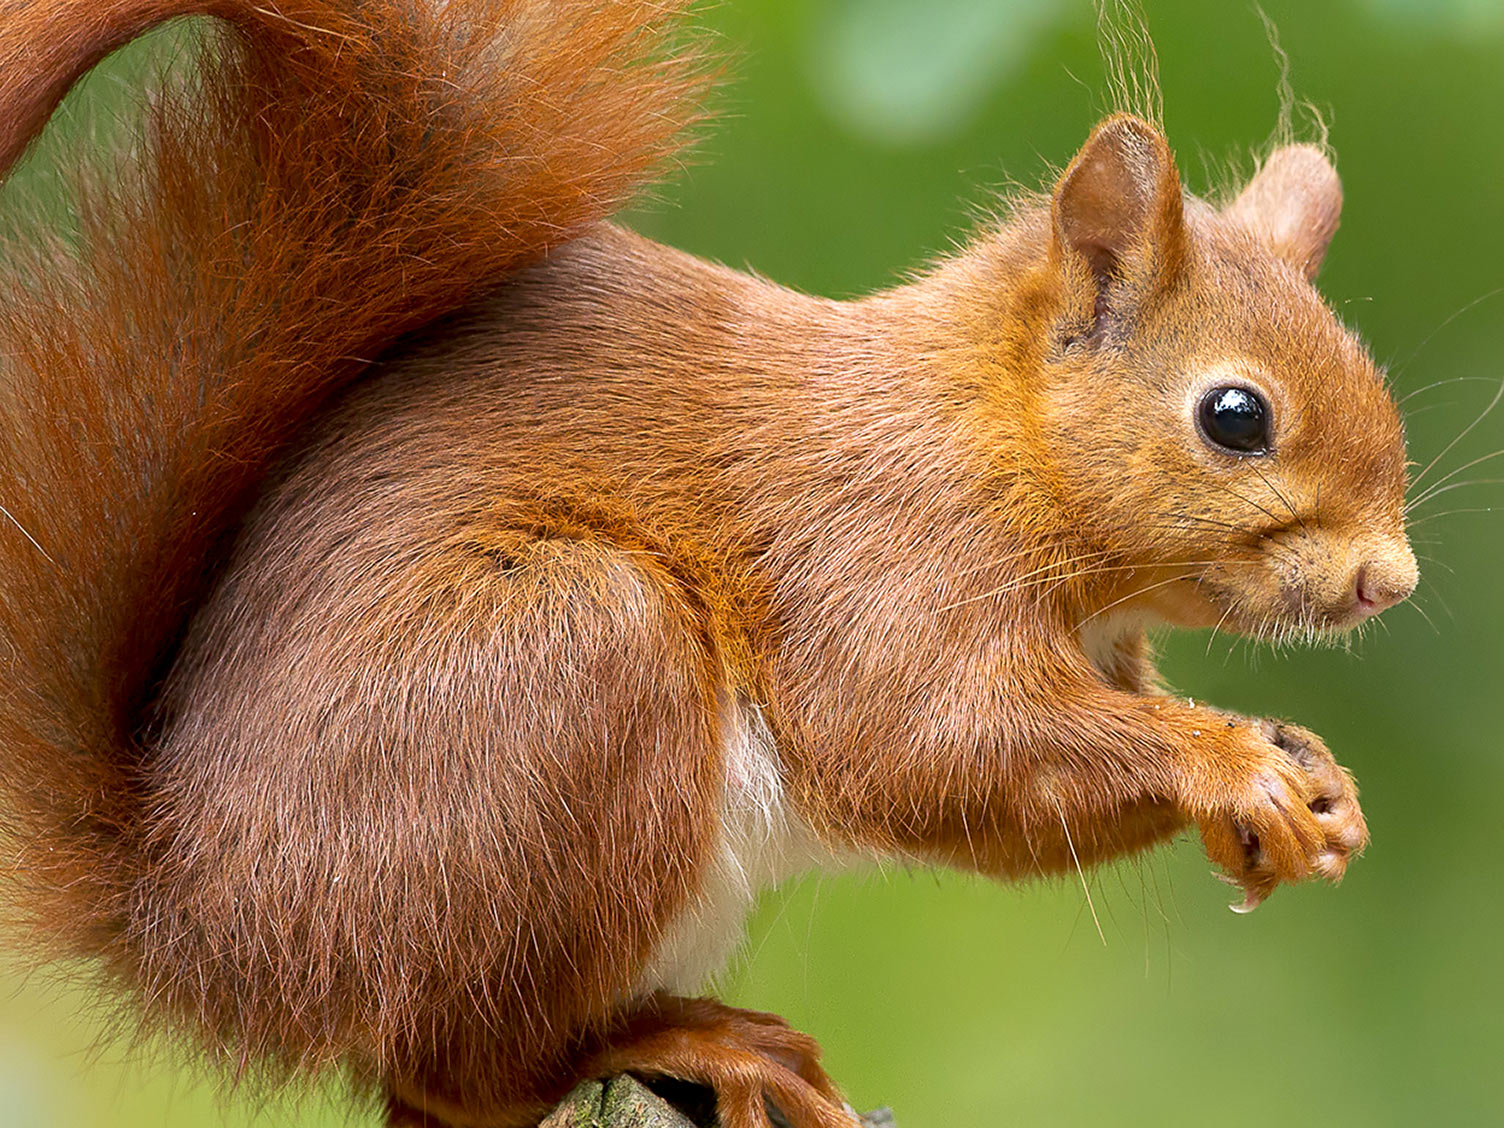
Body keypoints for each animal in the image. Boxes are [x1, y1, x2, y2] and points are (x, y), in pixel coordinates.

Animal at [0, 2, 1407, 1128]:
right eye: (1235, 416)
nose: (1385, 582)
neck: (987, 436)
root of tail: (196, 920)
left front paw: (1309, 783)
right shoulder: (879, 554)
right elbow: (926, 744)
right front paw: (1224, 761)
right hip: (566, 666)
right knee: (462, 1072)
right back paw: (688, 1041)